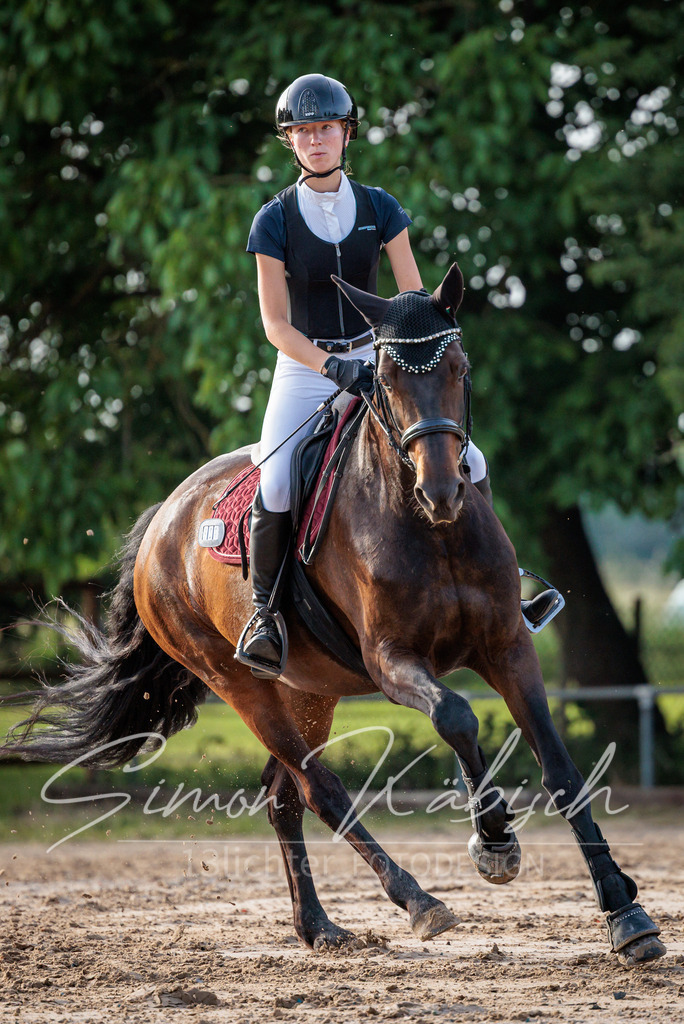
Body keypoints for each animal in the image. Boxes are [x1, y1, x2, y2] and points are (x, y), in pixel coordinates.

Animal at [2, 263, 665, 968]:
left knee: (283, 798)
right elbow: (457, 716)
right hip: (237, 682)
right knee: (319, 789)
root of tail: (163, 519)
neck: (432, 530)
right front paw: (493, 841)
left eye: (459, 367)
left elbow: (561, 769)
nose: (441, 491)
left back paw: (319, 926)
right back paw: (416, 900)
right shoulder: (393, 659)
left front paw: (625, 911)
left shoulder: (508, 645)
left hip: (309, 691)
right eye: (387, 378)